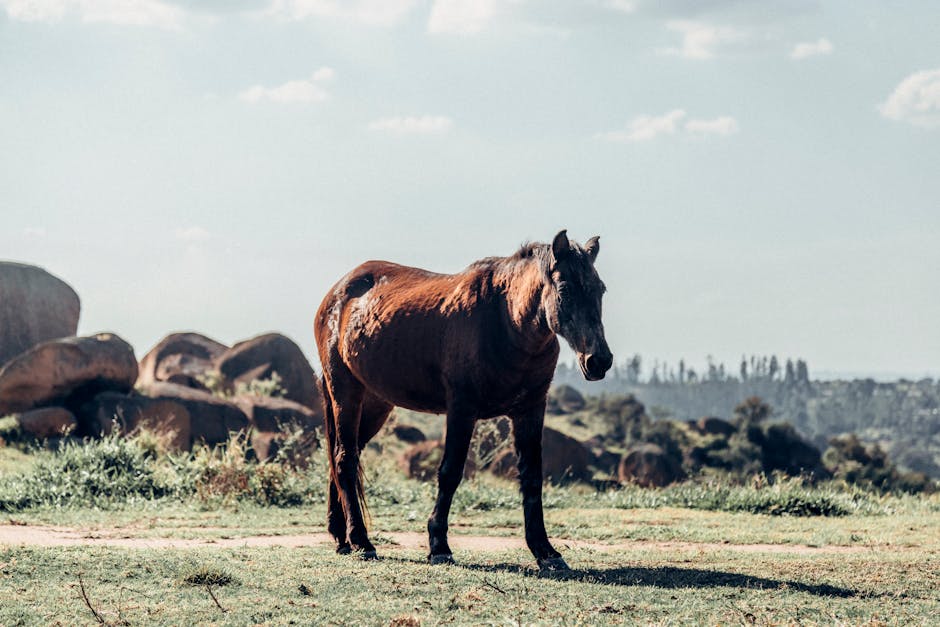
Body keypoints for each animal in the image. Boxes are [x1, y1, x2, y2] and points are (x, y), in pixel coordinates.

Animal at [312, 229, 612, 568]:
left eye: (600, 289)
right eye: (565, 289)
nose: (599, 361)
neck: (505, 320)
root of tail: (337, 294)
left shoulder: (531, 410)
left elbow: (532, 477)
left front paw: (545, 550)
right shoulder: (461, 409)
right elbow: (450, 472)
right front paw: (439, 545)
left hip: (376, 404)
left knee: (342, 458)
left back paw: (341, 537)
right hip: (345, 392)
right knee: (344, 459)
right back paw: (361, 541)